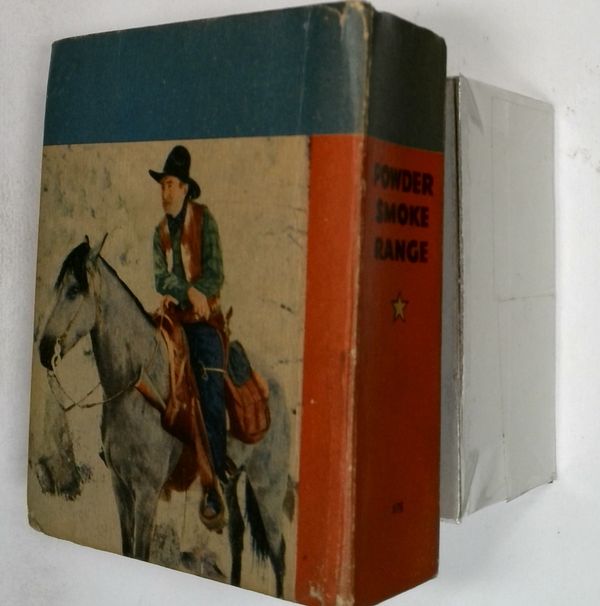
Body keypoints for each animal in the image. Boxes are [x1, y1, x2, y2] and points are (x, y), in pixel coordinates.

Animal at [38, 239, 291, 597]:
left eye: (74, 290)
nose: (45, 350)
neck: (138, 385)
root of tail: (275, 386)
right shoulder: (120, 486)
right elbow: (127, 548)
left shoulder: (147, 491)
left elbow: (141, 553)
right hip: (231, 480)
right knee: (237, 535)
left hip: (268, 484)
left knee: (278, 553)